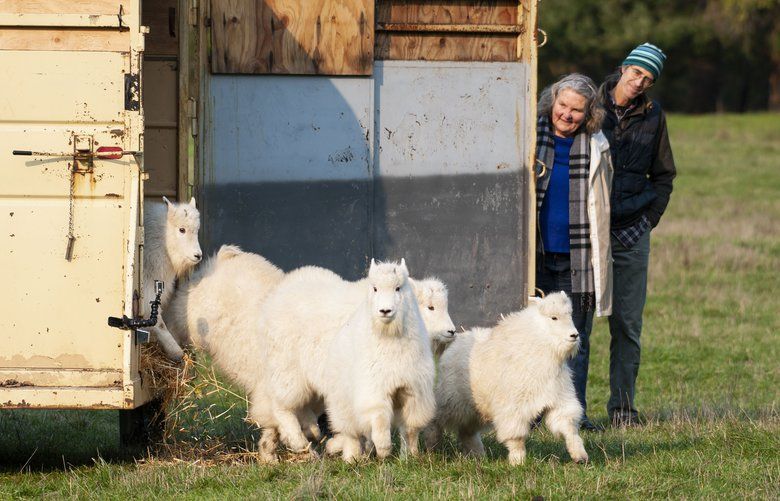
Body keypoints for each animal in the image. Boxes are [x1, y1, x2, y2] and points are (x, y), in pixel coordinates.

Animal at [426, 292, 584, 464]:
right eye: (553, 318)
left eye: (570, 315)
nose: (574, 335)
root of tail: (454, 343)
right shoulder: (513, 408)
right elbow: (516, 437)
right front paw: (518, 462)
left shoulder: (558, 400)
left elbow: (568, 427)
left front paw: (580, 455)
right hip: (452, 400)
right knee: (437, 419)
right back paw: (432, 445)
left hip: (476, 408)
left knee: (467, 431)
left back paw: (478, 455)